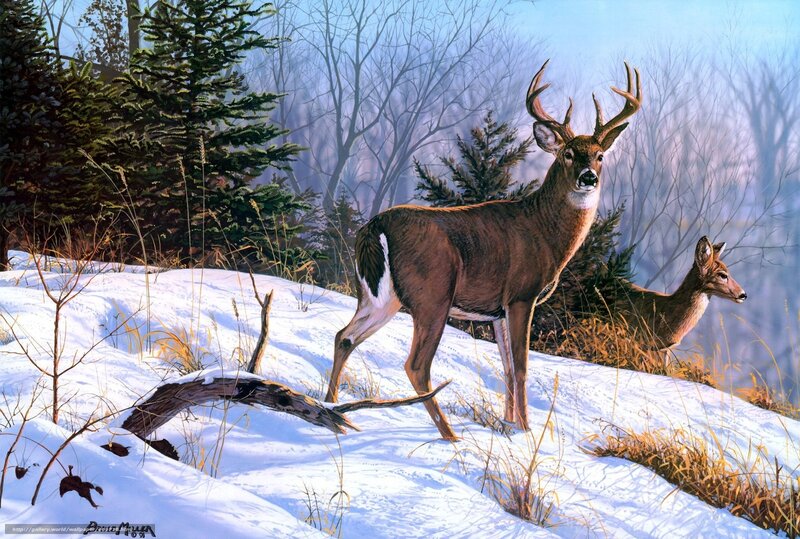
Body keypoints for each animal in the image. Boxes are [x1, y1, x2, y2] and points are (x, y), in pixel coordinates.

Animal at [324, 60, 642, 440]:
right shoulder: (521, 295)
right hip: (432, 295)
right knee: (416, 365)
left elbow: (506, 368)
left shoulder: (497, 312)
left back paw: (331, 408)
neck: (546, 233)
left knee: (344, 336)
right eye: (567, 154)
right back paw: (449, 436)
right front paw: (525, 432)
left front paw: (510, 426)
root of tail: (375, 226)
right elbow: (521, 367)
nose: (588, 177)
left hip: (381, 297)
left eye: (600, 155)